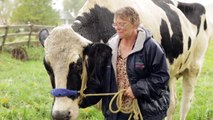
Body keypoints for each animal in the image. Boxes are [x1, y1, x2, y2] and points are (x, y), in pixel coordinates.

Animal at [38, 0, 213, 120]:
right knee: (172, 104)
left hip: (194, 67)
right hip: (170, 72)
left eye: (79, 65)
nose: (61, 114)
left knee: (185, 103)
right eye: (47, 66)